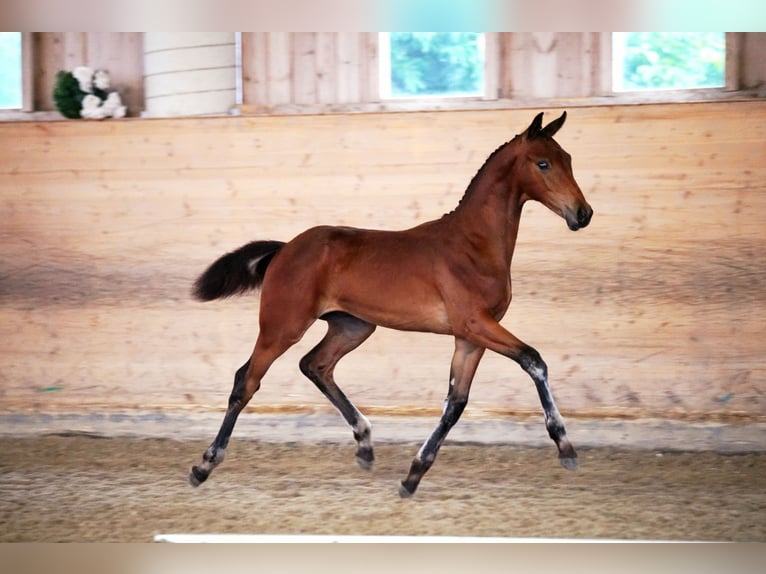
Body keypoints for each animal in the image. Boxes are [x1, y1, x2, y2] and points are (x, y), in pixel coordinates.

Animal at [190, 112, 592, 500]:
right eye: (543, 163)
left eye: (569, 160)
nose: (582, 214)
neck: (473, 244)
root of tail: (285, 248)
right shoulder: (476, 323)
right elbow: (533, 360)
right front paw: (565, 447)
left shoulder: (470, 337)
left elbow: (455, 403)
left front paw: (413, 475)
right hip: (282, 326)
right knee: (246, 380)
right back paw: (204, 465)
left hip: (353, 326)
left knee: (316, 365)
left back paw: (365, 444)